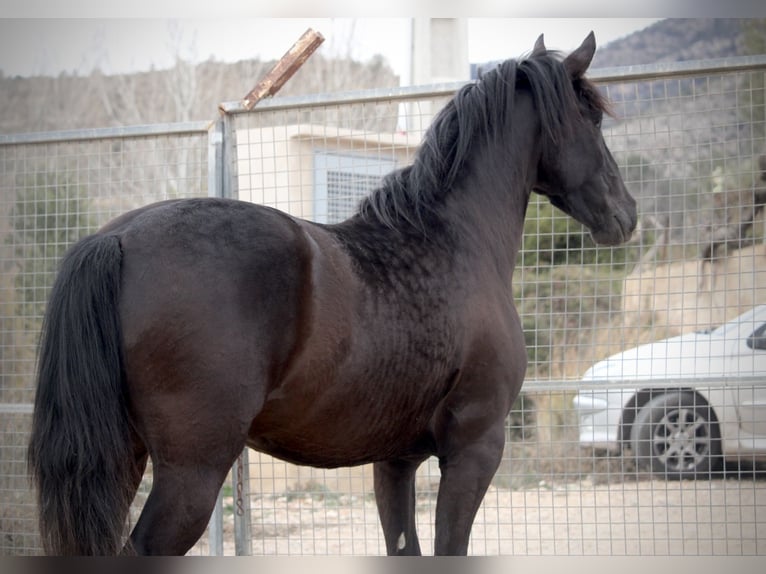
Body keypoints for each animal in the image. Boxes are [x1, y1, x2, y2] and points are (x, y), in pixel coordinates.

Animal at [28, 32, 636, 560]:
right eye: (591, 117)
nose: (625, 214)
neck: (452, 240)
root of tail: (118, 238)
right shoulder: (474, 449)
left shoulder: (396, 461)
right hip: (191, 472)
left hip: (123, 460)